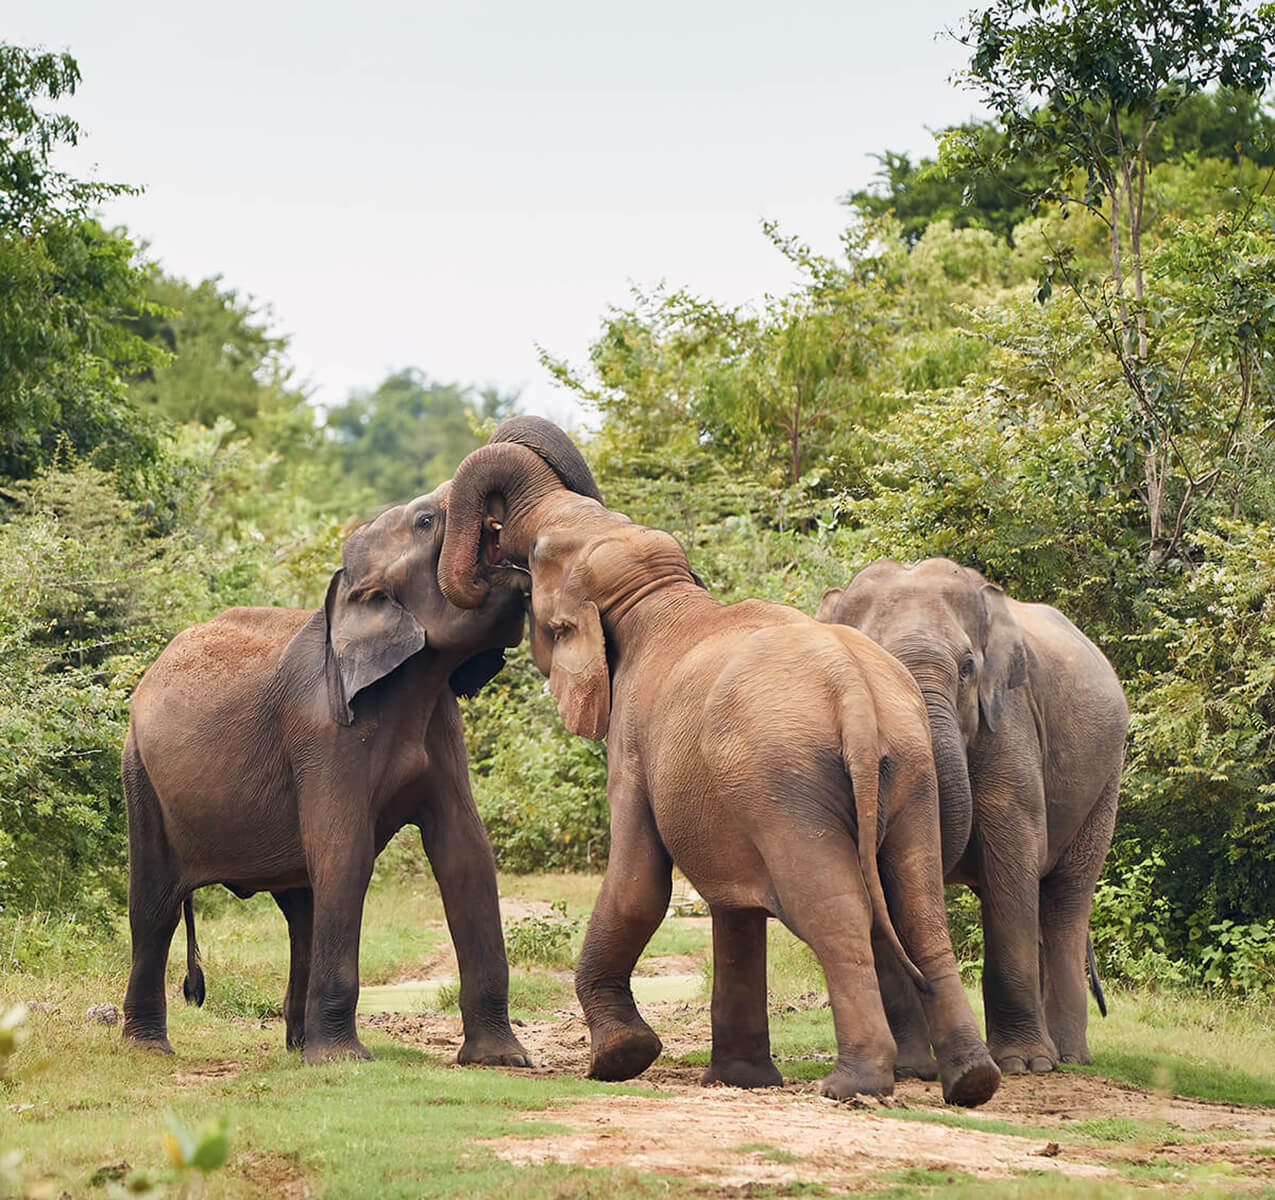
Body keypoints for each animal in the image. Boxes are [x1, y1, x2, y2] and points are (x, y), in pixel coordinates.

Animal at [438, 425, 1004, 1112]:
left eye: (541, 554)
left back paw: (852, 1085)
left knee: (835, 911)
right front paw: (739, 1080)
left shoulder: (633, 744)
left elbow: (638, 884)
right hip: (911, 772)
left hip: (788, 785)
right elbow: (734, 907)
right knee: (920, 907)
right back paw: (972, 1084)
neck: (657, 593)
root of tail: (854, 693)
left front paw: (621, 1059)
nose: (493, 551)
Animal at [816, 561, 1127, 1076]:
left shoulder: (1009, 725)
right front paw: (908, 1069)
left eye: (967, 668)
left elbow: (1012, 857)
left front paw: (1023, 1064)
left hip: (1106, 780)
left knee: (1064, 897)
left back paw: (1065, 1058)